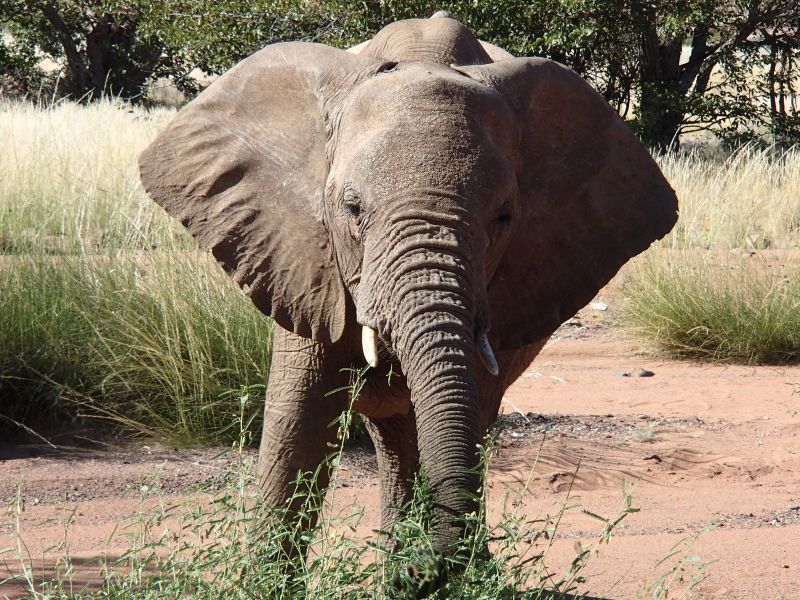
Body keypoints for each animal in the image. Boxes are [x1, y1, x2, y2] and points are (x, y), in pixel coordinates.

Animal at [139, 11, 677, 590]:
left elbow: (464, 421)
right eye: (351, 208)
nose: (420, 572)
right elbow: (299, 430)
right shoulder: (301, 258)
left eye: (504, 217)